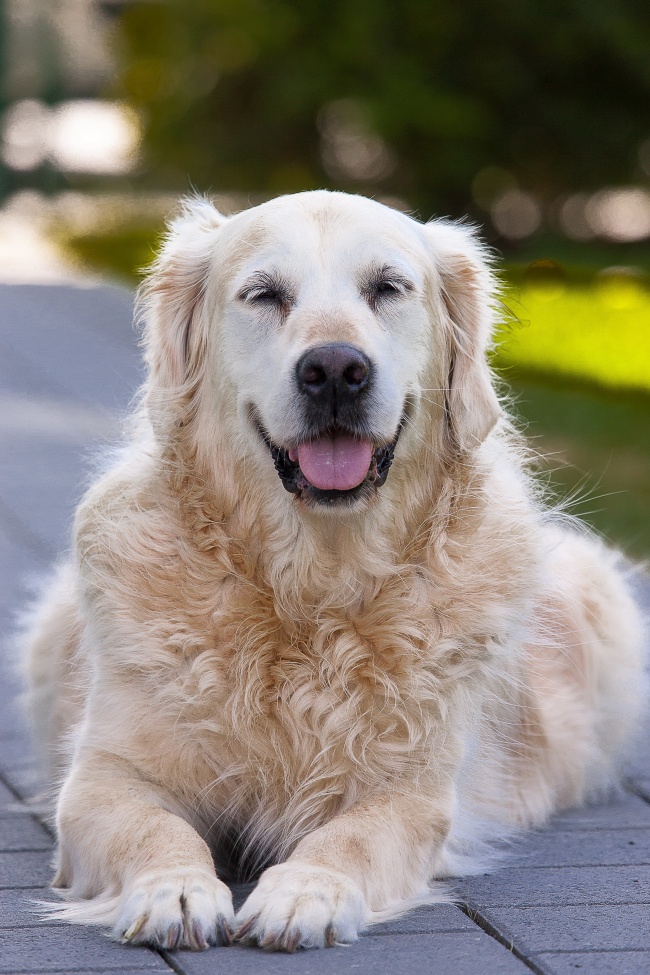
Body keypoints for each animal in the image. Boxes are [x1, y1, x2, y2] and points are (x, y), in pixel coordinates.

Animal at [21, 191, 644, 952]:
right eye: (264, 294)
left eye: (388, 288)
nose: (336, 371)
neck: (310, 592)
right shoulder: (105, 777)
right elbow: (154, 827)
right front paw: (174, 888)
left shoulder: (411, 790)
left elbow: (351, 837)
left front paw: (304, 893)